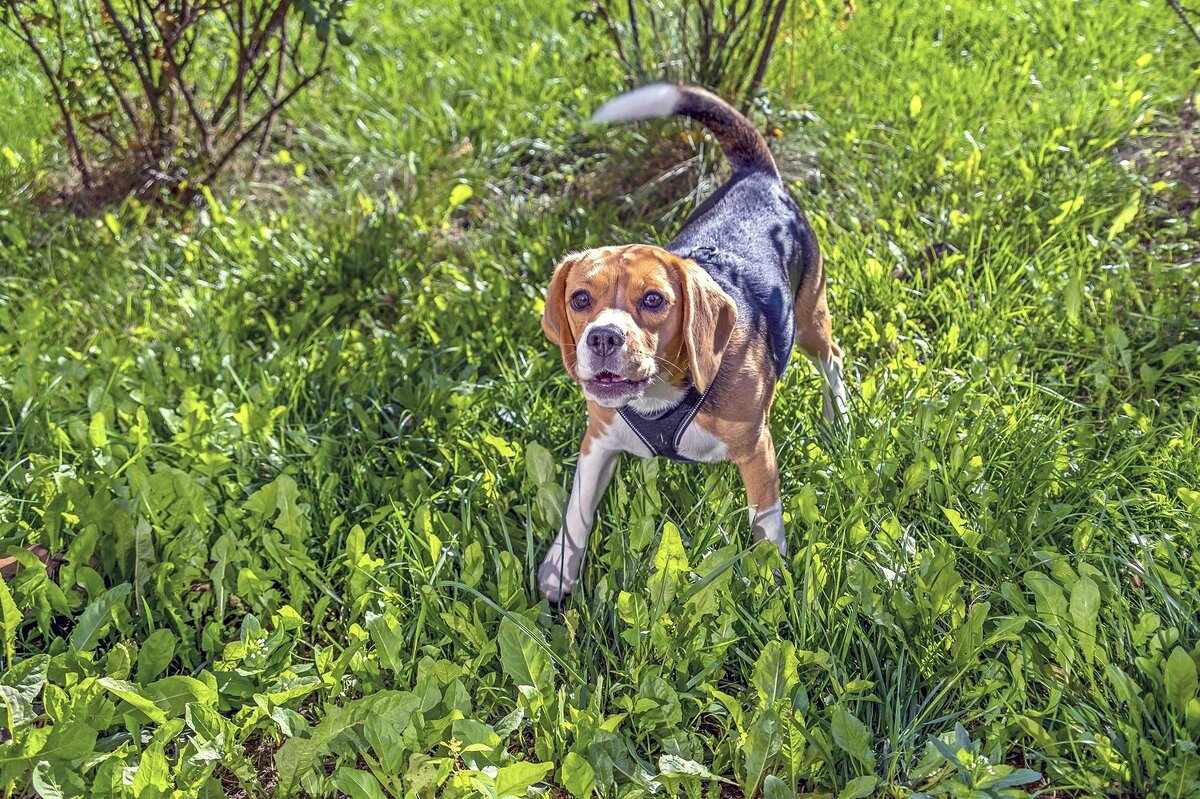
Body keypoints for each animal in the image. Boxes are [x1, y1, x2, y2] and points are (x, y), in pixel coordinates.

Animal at [540, 83, 849, 599]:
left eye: (654, 300)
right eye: (580, 299)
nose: (602, 337)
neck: (660, 398)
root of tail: (755, 176)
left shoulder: (757, 451)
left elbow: (767, 527)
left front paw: (771, 584)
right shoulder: (598, 439)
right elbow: (578, 509)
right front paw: (560, 568)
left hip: (810, 318)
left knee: (833, 359)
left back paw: (838, 419)